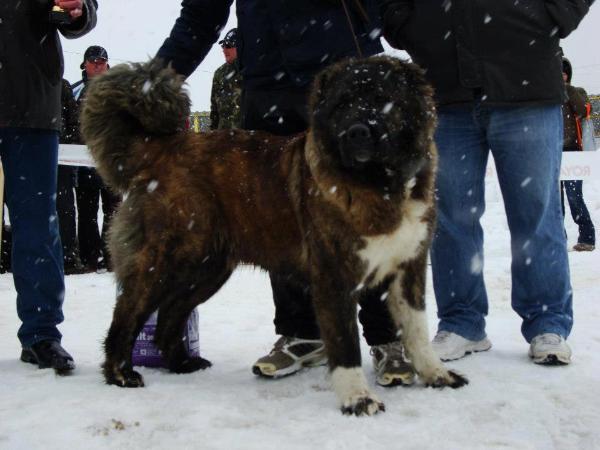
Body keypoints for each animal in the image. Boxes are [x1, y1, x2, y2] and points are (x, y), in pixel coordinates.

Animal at [81, 55, 464, 414]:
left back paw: (183, 364)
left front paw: (436, 374)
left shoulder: (408, 268)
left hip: (206, 268)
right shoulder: (334, 276)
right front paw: (358, 398)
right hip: (165, 260)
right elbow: (345, 343)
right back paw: (120, 373)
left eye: (383, 99)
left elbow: (416, 328)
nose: (356, 131)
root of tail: (162, 147)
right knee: (128, 312)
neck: (379, 185)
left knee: (169, 316)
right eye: (342, 105)